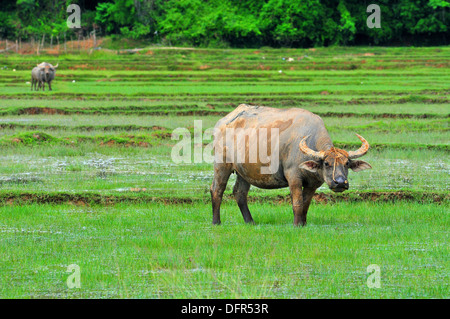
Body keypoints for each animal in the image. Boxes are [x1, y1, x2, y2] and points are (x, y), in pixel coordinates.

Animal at [211, 105, 372, 228]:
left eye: (346, 164)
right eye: (327, 163)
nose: (340, 182)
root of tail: (222, 122)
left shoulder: (313, 183)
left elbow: (306, 204)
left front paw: (303, 223)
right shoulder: (293, 177)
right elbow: (297, 202)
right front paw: (296, 225)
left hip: (244, 172)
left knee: (240, 193)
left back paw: (250, 222)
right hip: (221, 165)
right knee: (217, 190)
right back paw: (216, 222)